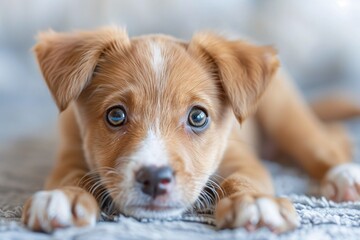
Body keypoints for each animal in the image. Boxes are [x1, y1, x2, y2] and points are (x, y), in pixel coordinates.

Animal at [21, 27, 360, 233]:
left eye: (198, 117)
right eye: (115, 115)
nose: (154, 178)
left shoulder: (241, 156)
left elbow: (242, 179)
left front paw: (254, 202)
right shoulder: (70, 150)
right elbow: (70, 175)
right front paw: (64, 197)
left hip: (283, 111)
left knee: (322, 141)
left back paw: (344, 175)